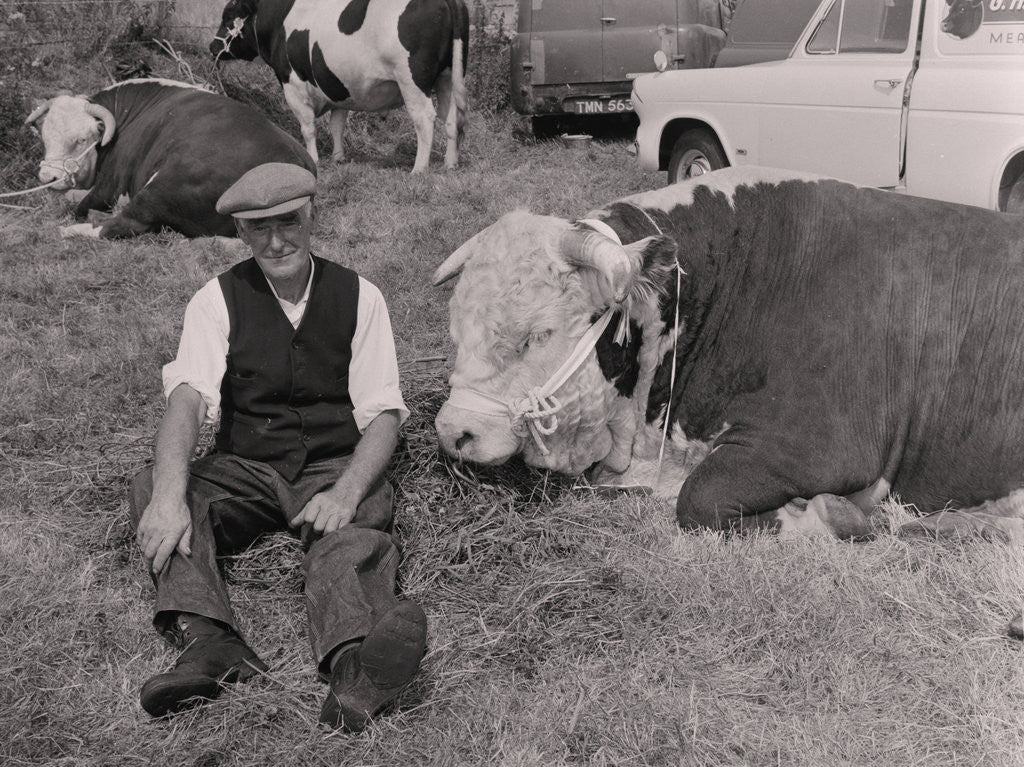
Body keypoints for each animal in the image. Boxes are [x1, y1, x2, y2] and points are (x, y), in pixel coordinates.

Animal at [28, 78, 315, 236]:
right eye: (44, 135)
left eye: (82, 139)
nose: (48, 177)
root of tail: (295, 161)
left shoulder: (110, 185)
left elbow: (80, 206)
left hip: (162, 187)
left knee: (120, 224)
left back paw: (72, 230)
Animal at [210, 0, 468, 173]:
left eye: (228, 18)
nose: (213, 47)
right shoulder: (335, 87)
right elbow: (337, 125)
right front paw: (338, 158)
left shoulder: (293, 86)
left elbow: (308, 128)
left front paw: (314, 159)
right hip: (447, 78)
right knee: (451, 117)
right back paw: (450, 164)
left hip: (412, 81)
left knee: (424, 118)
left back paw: (419, 169)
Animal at [430, 169, 1024, 548]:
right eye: (456, 326)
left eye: (540, 334)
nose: (453, 431)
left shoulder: (826, 444)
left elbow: (699, 499)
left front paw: (830, 514)